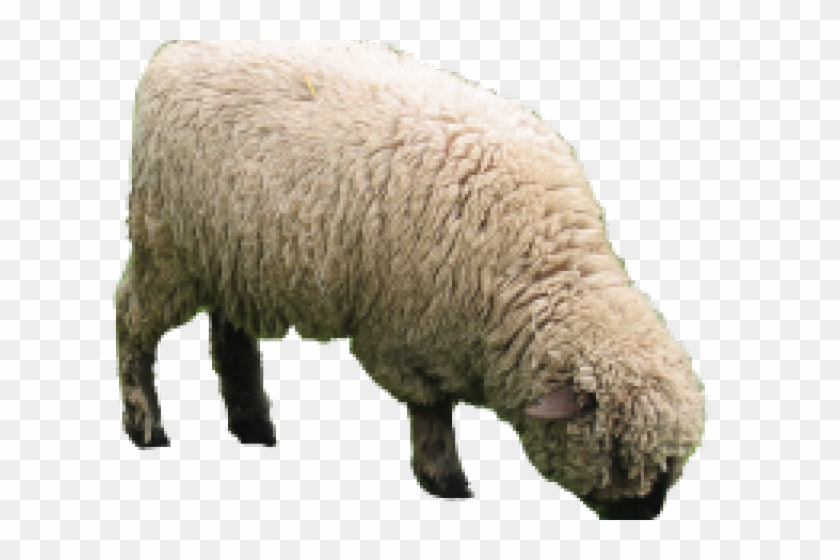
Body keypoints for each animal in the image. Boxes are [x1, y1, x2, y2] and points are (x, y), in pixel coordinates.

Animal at [116, 40, 705, 520]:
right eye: (617, 454)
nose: (648, 512)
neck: (536, 270)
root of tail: (176, 55)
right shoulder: (404, 334)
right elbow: (432, 410)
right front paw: (445, 480)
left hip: (233, 259)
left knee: (229, 337)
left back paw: (253, 426)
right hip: (167, 251)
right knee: (131, 322)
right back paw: (145, 424)